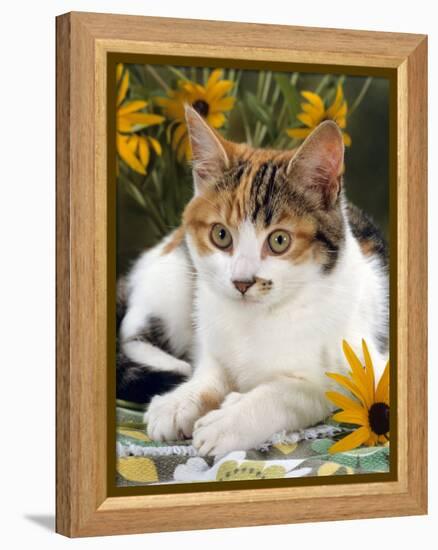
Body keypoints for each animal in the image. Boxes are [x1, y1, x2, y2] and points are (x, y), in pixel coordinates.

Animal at [116, 103, 386, 458]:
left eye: (279, 241)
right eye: (221, 235)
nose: (242, 281)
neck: (258, 317)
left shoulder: (361, 364)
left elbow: (298, 390)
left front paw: (230, 419)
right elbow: (211, 369)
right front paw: (182, 400)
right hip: (174, 273)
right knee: (131, 331)